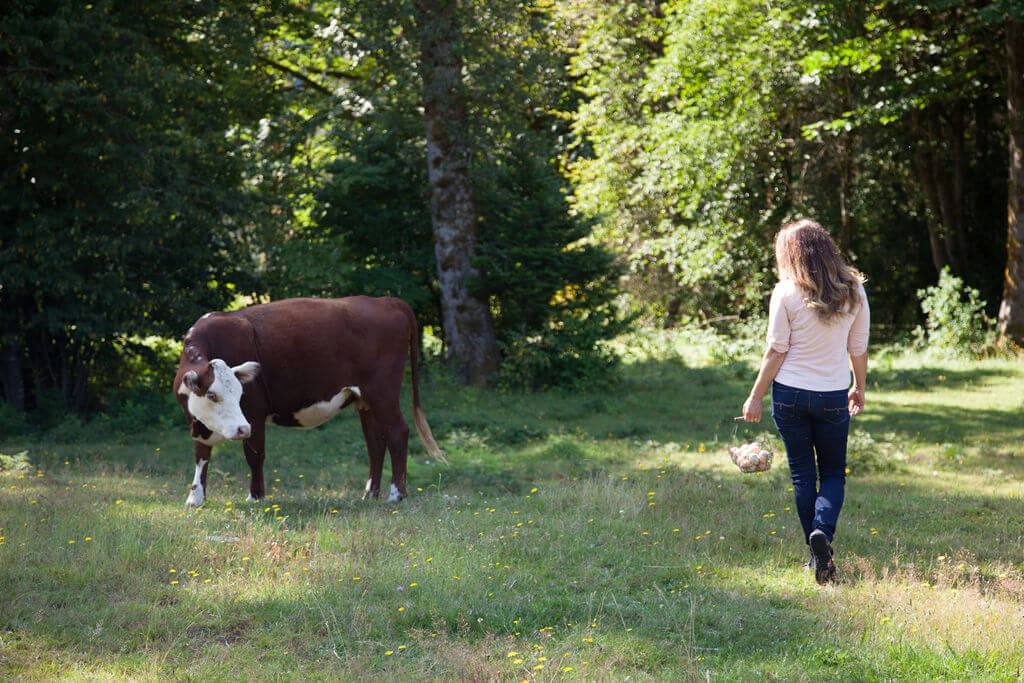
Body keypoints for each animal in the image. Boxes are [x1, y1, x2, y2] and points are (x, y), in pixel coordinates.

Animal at [171, 296, 444, 507]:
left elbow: (254, 455)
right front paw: (195, 498)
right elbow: (201, 455)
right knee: (375, 443)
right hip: (365, 400)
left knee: (398, 432)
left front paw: (255, 497)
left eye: (240, 394)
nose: (241, 428)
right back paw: (369, 495)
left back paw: (396, 495)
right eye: (212, 395)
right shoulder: (198, 424)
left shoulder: (254, 413)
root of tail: (386, 300)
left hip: (383, 393)